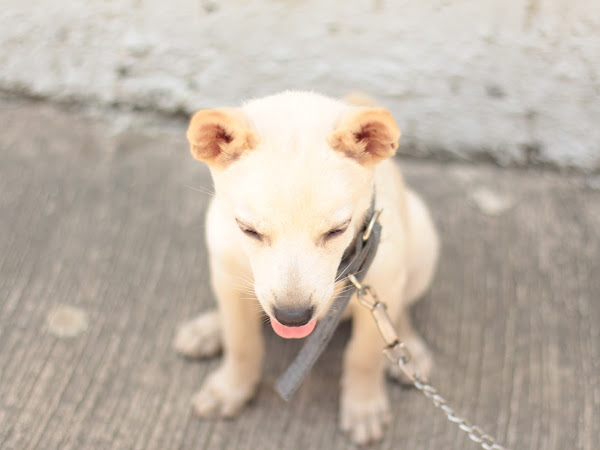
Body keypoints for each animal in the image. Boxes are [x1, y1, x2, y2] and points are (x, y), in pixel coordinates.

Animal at [173, 90, 440, 442]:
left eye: (338, 230)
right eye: (248, 230)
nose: (293, 317)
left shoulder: (381, 279)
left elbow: (364, 355)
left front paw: (363, 406)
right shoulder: (228, 274)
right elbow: (241, 342)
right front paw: (231, 388)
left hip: (421, 242)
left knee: (398, 309)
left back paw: (408, 349)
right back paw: (208, 328)